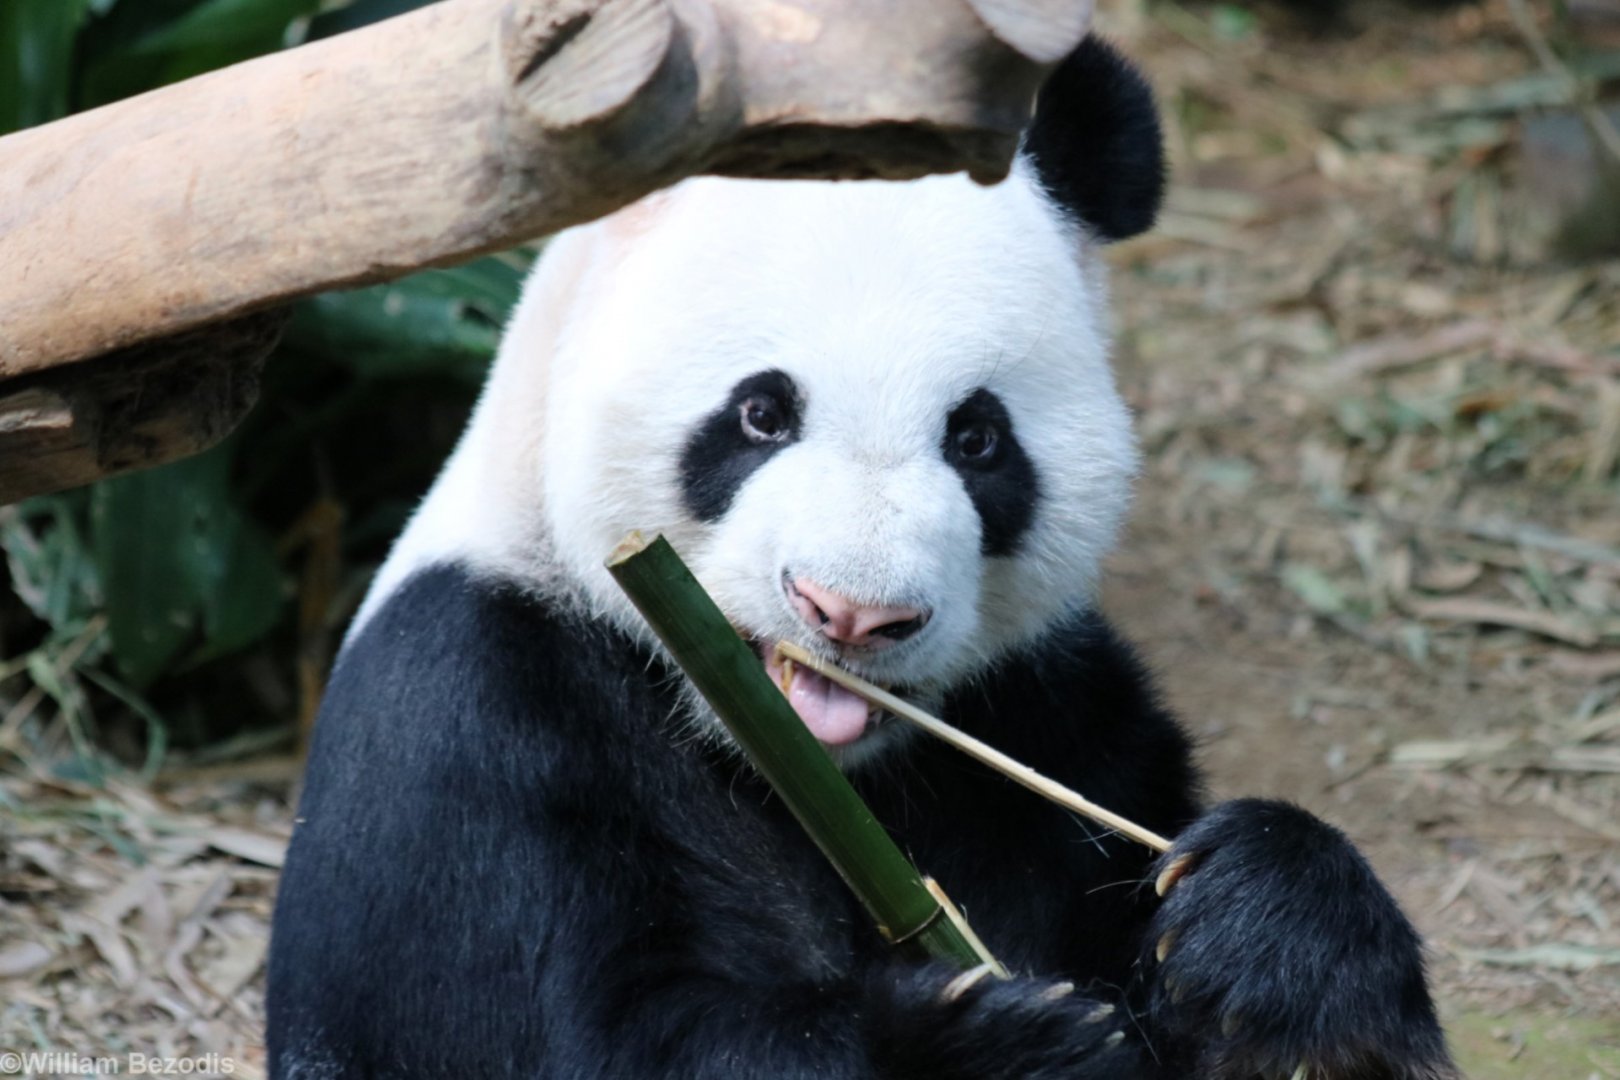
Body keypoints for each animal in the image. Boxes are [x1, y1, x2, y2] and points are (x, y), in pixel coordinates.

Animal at [266, 37, 1455, 1080]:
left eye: (976, 438)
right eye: (761, 413)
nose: (849, 614)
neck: (812, 772)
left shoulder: (1044, 709)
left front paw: (1265, 926)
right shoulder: (477, 720)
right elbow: (591, 1037)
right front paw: (1006, 1046)